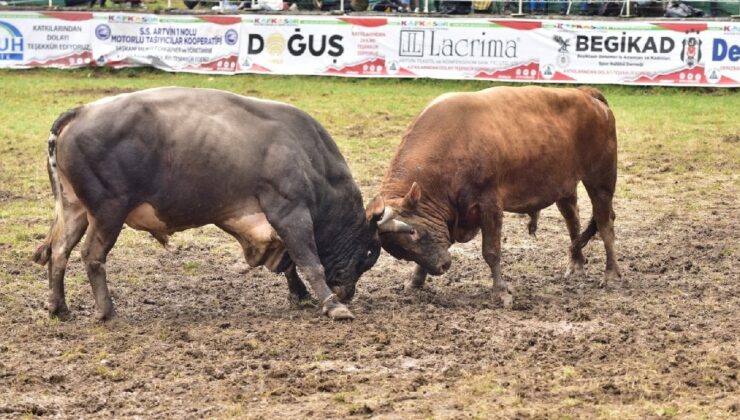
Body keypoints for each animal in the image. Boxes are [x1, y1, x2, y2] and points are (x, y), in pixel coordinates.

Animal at [33, 87, 398, 320]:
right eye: (369, 252)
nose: (347, 291)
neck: (308, 156)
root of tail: (82, 112)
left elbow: (290, 263)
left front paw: (301, 296)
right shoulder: (290, 211)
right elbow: (309, 261)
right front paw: (333, 305)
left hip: (76, 209)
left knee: (59, 252)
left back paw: (58, 307)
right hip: (108, 211)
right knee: (91, 255)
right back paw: (106, 311)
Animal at [382, 86, 620, 308]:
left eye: (413, 232)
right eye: (401, 252)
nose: (442, 267)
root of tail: (584, 93)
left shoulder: (489, 204)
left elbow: (491, 251)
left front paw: (501, 292)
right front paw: (414, 283)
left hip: (601, 180)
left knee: (605, 224)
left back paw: (611, 275)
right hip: (565, 186)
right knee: (573, 219)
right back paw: (576, 265)